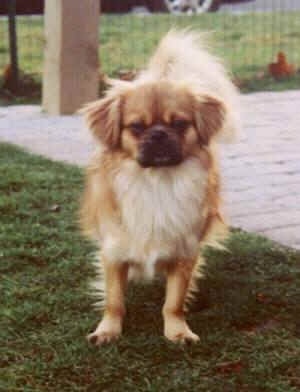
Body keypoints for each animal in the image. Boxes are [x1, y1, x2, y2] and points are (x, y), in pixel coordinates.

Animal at [79, 30, 239, 344]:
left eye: (179, 124)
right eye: (136, 127)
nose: (158, 134)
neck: (157, 181)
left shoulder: (184, 252)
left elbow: (173, 301)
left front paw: (177, 331)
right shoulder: (114, 252)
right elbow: (114, 300)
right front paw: (108, 330)